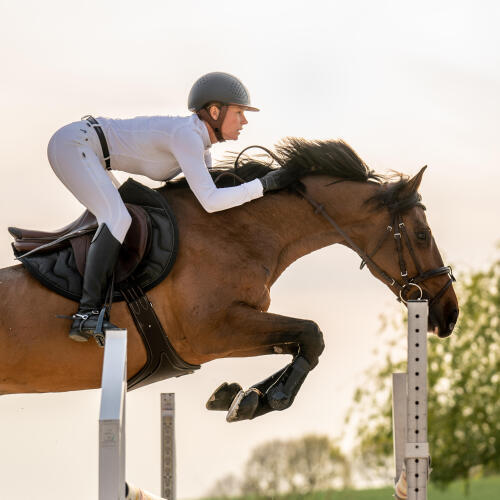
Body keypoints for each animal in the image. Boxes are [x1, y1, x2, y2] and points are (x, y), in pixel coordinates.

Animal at [0, 138, 458, 422]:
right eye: (422, 235)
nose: (449, 313)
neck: (235, 230)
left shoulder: (234, 327)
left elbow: (300, 341)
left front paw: (241, 397)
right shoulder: (213, 331)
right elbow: (312, 333)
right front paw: (264, 399)